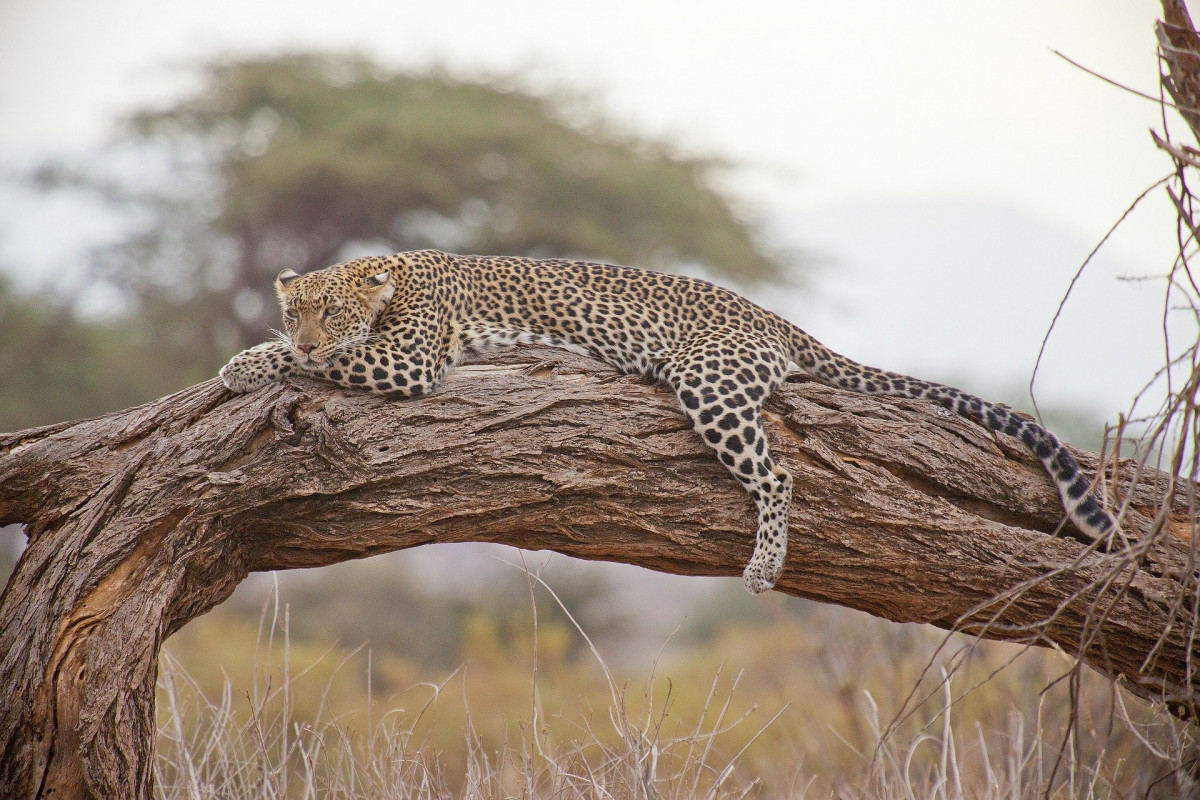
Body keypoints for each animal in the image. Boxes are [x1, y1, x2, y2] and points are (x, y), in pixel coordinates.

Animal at [220, 249, 1119, 594]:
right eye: (298, 309)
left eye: (331, 314)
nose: (305, 331)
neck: (391, 277)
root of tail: (772, 318)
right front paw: (249, 356)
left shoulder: (408, 360)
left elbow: (321, 366)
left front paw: (252, 364)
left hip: (709, 382)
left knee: (777, 471)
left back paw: (763, 567)